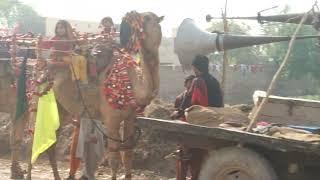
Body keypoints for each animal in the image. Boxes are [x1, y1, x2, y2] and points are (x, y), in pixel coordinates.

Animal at [6, 11, 164, 180]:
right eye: (143, 17)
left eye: (149, 18)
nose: (131, 16)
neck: (131, 84)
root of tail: (40, 70)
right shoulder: (111, 119)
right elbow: (114, 158)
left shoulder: (130, 118)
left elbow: (128, 155)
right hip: (38, 101)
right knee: (33, 140)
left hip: (62, 111)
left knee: (51, 144)